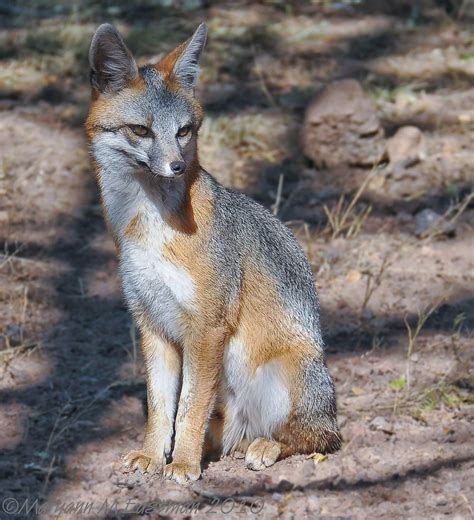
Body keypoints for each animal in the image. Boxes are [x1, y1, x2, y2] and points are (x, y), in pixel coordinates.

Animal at [86, 21, 340, 484]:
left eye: (184, 131)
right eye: (141, 130)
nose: (176, 167)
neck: (147, 228)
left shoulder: (207, 327)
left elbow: (190, 406)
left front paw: (184, 463)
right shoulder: (152, 324)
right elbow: (161, 406)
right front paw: (153, 454)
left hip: (281, 376)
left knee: (317, 436)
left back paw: (264, 447)